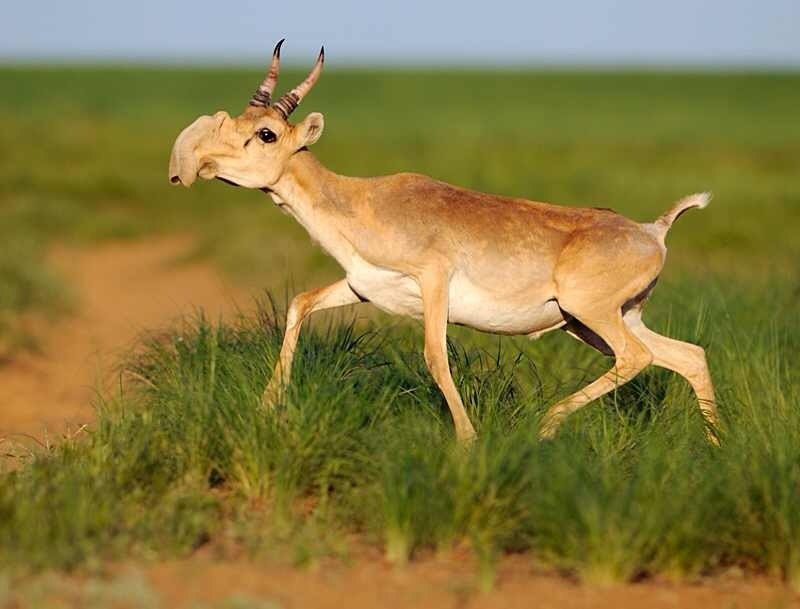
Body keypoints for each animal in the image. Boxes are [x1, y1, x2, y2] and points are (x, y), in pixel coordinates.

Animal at [168, 41, 719, 443]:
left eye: (265, 134)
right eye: (237, 121)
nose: (196, 164)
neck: (363, 201)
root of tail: (653, 230)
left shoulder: (434, 281)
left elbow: (435, 355)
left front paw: (468, 442)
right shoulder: (362, 287)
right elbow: (299, 303)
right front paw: (267, 407)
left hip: (590, 315)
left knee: (638, 358)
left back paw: (546, 424)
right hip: (599, 321)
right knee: (687, 355)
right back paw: (715, 449)